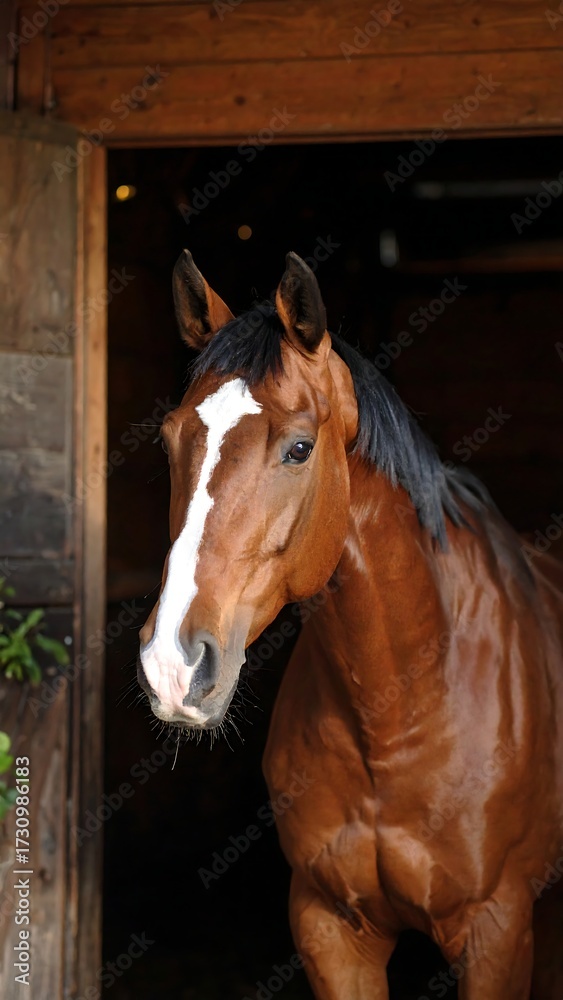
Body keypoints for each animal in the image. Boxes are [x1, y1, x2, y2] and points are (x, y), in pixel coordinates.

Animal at [138, 248, 563, 999]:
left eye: (299, 448)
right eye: (168, 441)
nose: (172, 664)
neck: (400, 707)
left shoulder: (497, 931)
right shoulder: (330, 927)